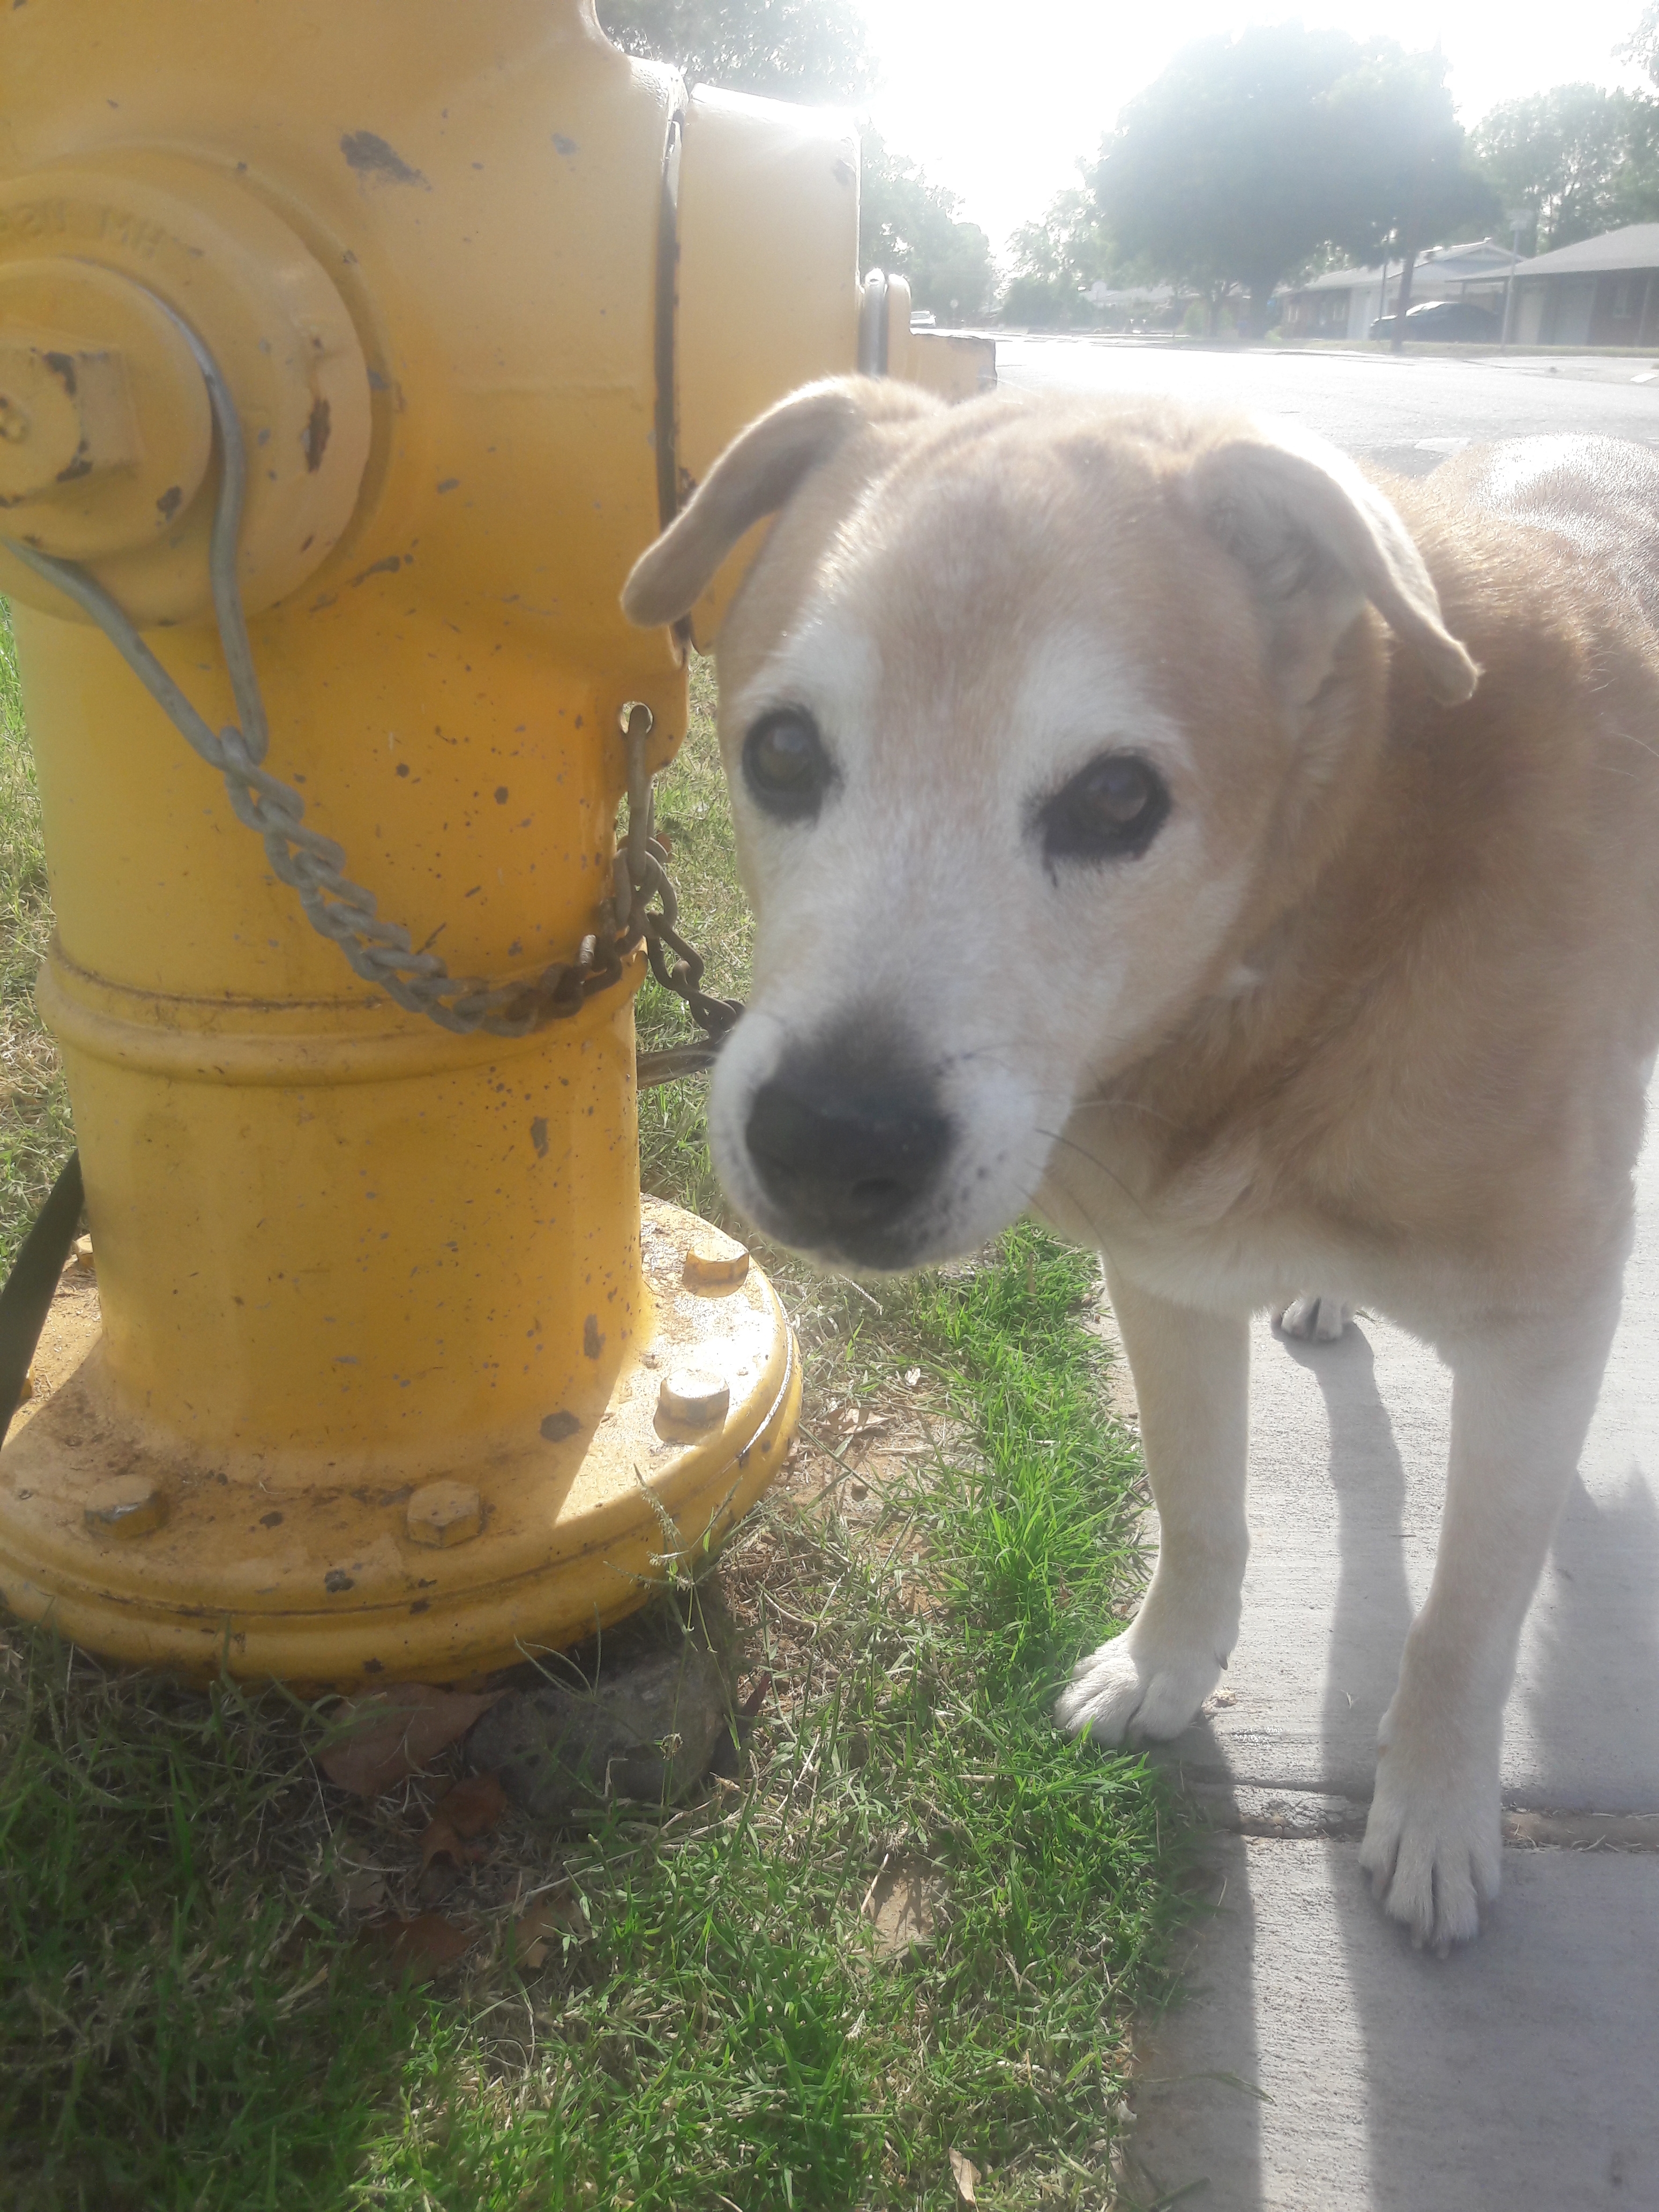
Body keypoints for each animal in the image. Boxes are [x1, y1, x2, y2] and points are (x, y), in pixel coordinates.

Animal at [619, 385, 1659, 1955]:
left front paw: (1431, 1804)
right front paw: (1166, 1668)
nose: (830, 1139)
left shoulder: (1542, 1336)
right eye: (785, 754)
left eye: (1116, 799)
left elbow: (1467, 1619)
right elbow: (1201, 1510)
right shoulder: (1166, 1273)